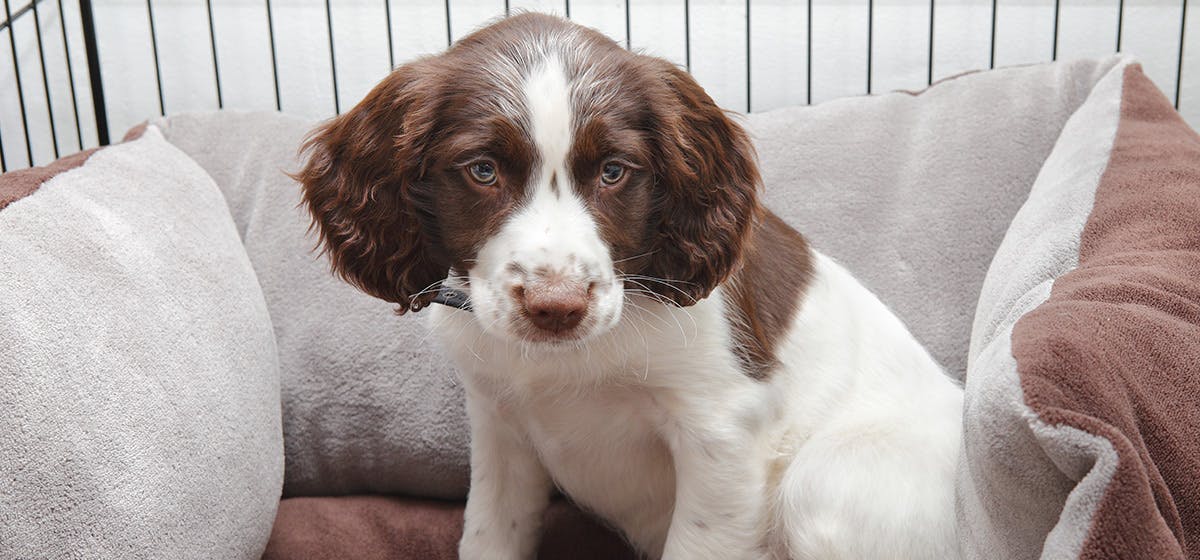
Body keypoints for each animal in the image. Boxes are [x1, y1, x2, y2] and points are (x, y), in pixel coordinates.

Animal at [300, 13, 964, 560]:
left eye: (614, 172)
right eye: (482, 171)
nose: (557, 308)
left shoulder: (720, 431)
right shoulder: (498, 425)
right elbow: (490, 533)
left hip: (821, 480)